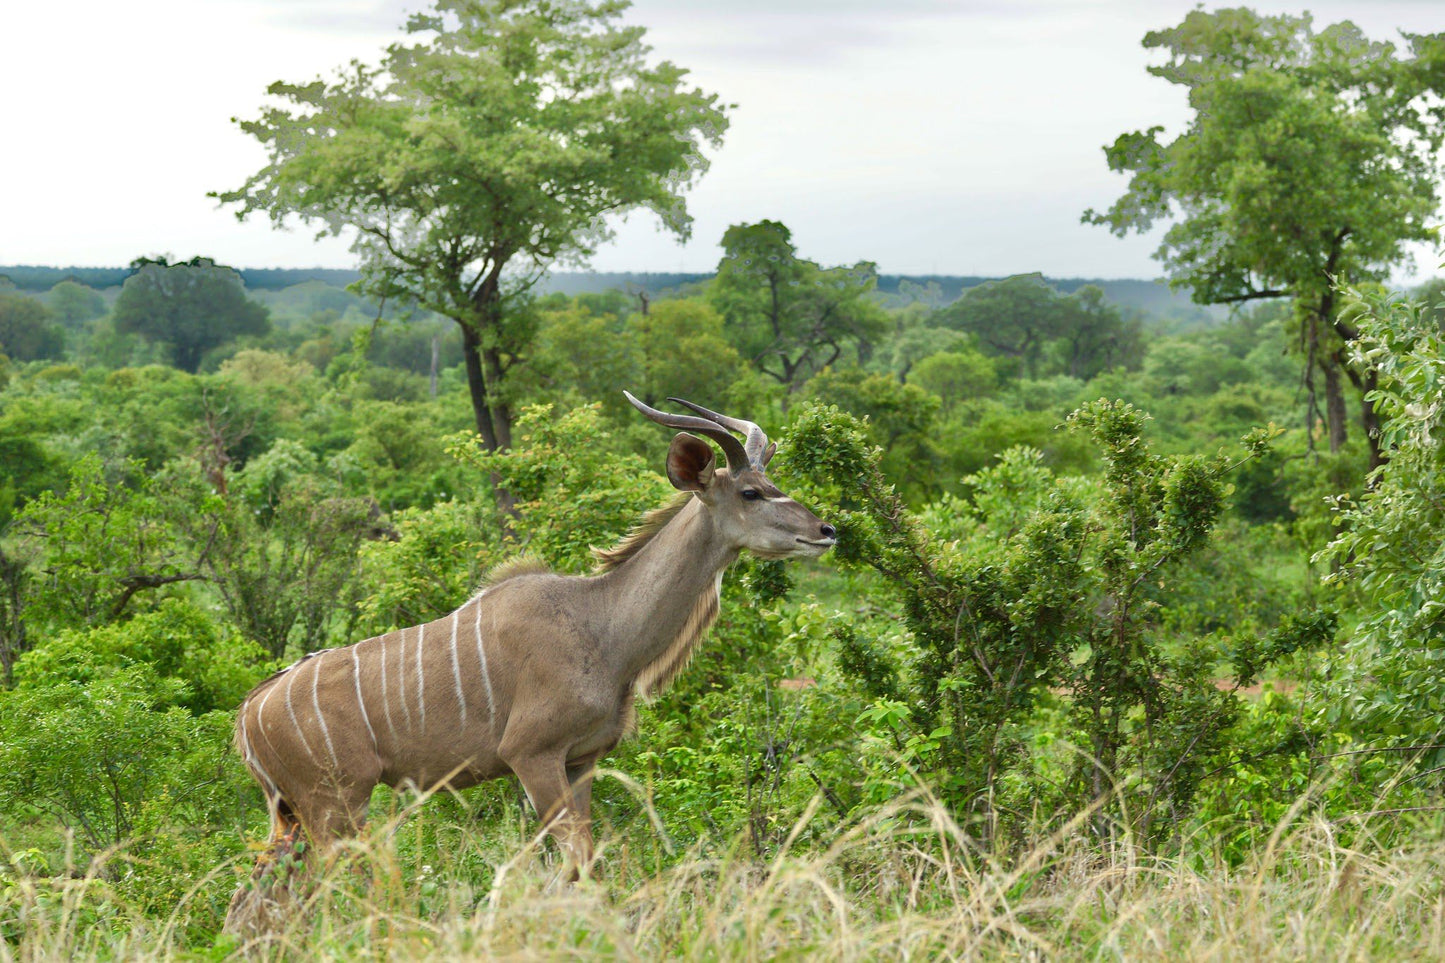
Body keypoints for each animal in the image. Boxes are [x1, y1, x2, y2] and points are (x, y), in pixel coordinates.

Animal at [225, 390, 838, 931]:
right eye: (752, 493)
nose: (826, 530)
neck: (600, 624)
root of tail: (250, 712)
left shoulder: (581, 760)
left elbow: (580, 865)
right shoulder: (531, 755)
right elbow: (576, 860)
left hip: (294, 815)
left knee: (255, 896)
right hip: (337, 803)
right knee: (321, 891)